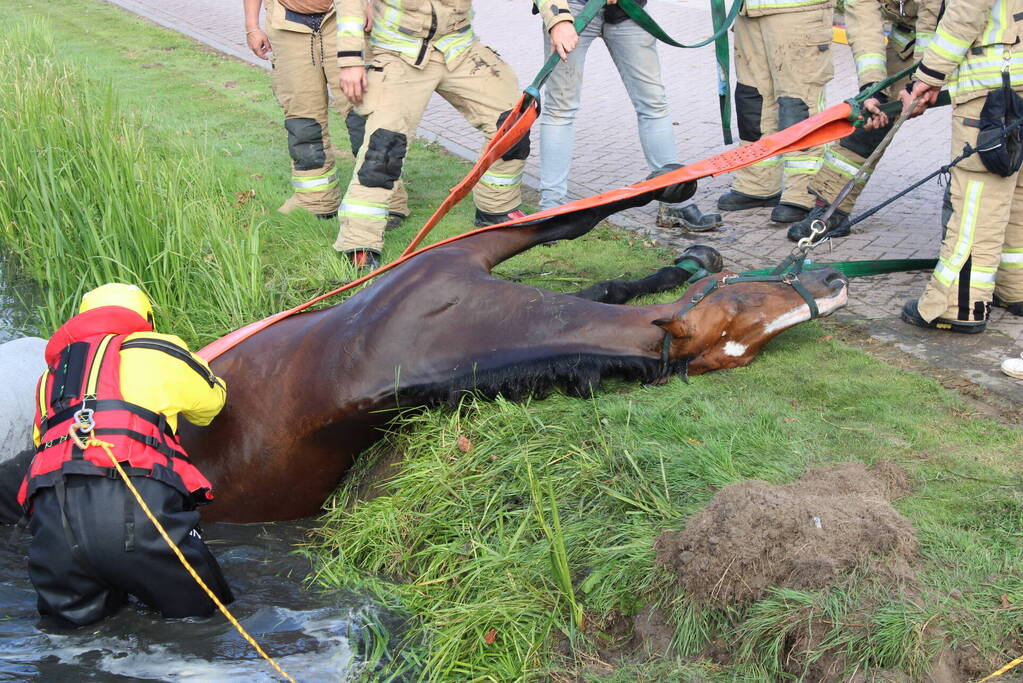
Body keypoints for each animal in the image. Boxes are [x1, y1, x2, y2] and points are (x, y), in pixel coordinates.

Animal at [180, 179, 848, 522]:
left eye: (746, 352)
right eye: (745, 302)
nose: (835, 281)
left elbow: (603, 284)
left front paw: (683, 260)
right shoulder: (457, 259)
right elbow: (566, 220)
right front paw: (679, 185)